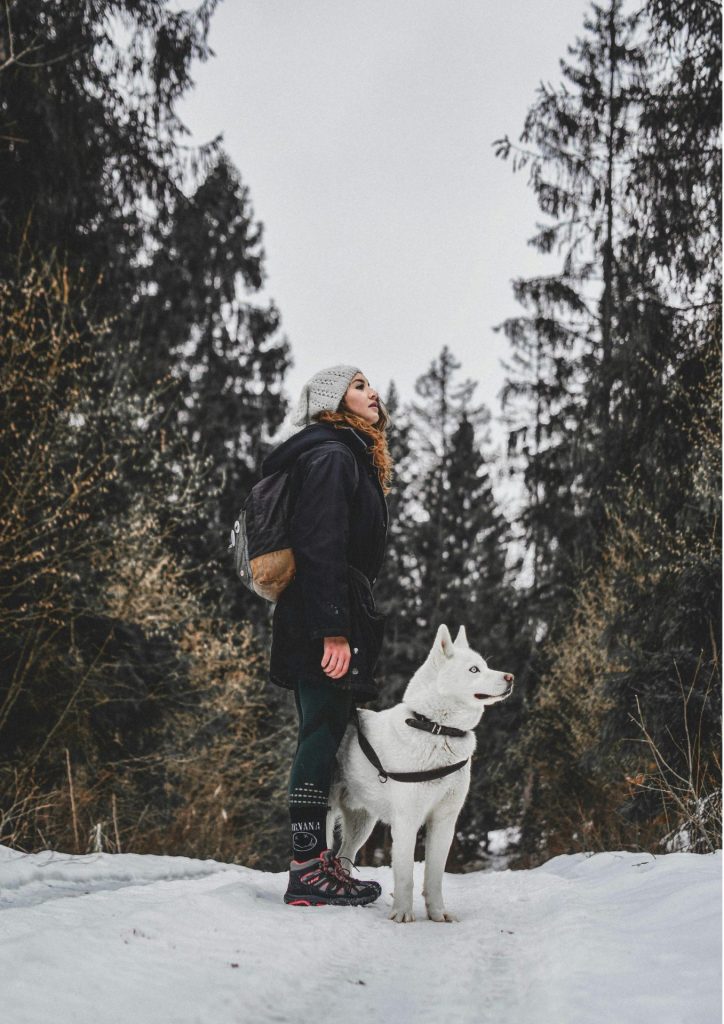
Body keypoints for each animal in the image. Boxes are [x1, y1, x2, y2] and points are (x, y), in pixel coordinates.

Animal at [329, 618, 516, 925]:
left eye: (485, 666)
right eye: (474, 669)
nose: (510, 677)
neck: (437, 730)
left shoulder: (444, 821)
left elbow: (434, 876)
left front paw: (438, 914)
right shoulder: (407, 821)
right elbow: (406, 875)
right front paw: (402, 914)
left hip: (362, 824)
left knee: (344, 856)